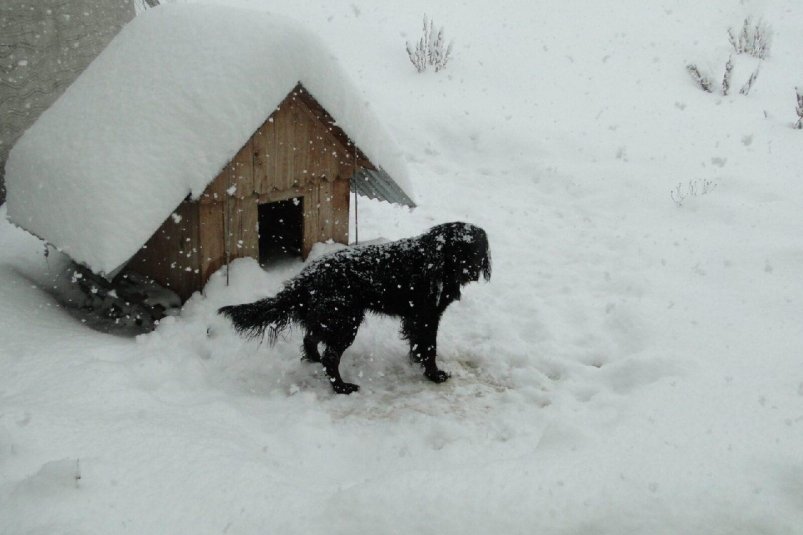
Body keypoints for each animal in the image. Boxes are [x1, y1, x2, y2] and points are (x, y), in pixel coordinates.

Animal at [218, 222, 490, 394]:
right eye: (458, 249)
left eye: (477, 249)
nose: (472, 270)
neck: (435, 263)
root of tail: (305, 277)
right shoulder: (427, 315)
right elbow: (430, 347)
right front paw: (434, 374)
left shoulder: (416, 317)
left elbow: (418, 345)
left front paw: (417, 362)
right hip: (345, 322)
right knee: (330, 356)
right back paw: (342, 387)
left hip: (330, 319)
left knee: (310, 339)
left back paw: (314, 360)